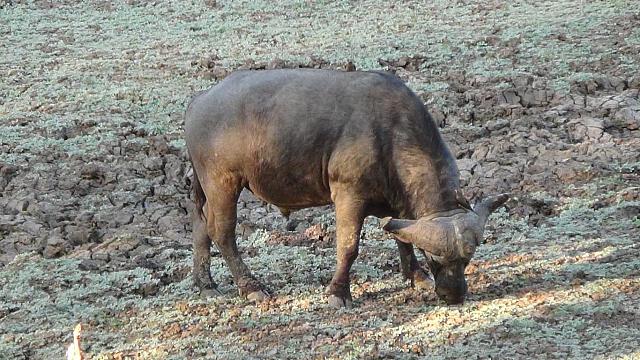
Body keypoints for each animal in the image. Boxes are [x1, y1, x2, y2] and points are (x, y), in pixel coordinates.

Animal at [185, 69, 510, 306]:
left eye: (467, 259)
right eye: (435, 257)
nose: (453, 295)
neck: (389, 132)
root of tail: (198, 101)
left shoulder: (397, 203)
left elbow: (401, 236)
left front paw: (416, 276)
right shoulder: (349, 195)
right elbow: (349, 246)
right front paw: (338, 293)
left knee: (201, 224)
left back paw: (206, 284)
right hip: (223, 183)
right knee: (222, 232)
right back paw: (251, 286)